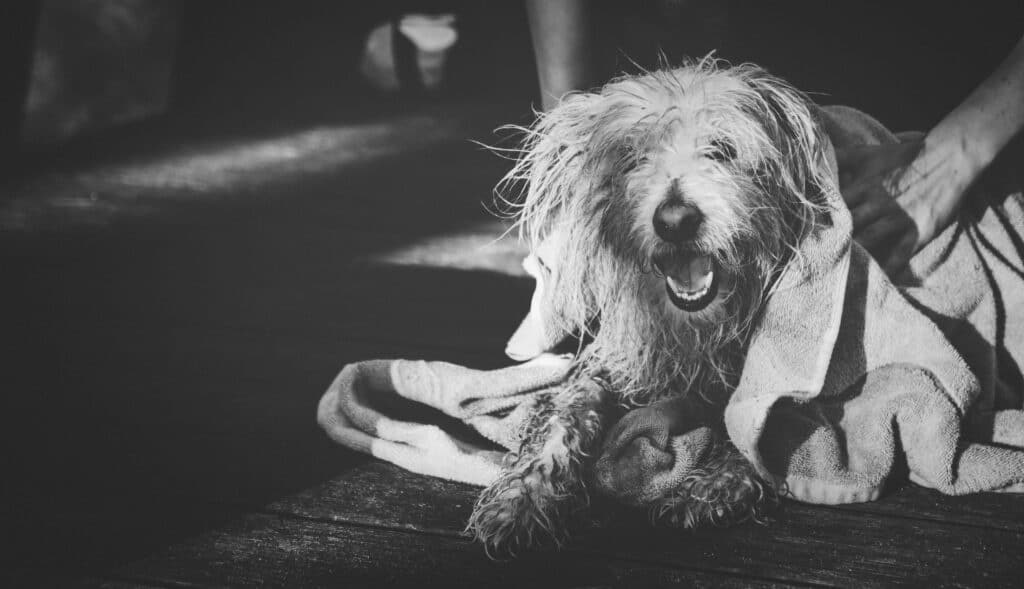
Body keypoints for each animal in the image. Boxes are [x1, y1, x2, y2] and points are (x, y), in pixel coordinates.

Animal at [468, 58, 835, 557]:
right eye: (631, 160)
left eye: (723, 150)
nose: (675, 221)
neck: (696, 327)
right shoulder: (609, 360)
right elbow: (562, 420)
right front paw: (522, 497)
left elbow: (759, 427)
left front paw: (717, 483)